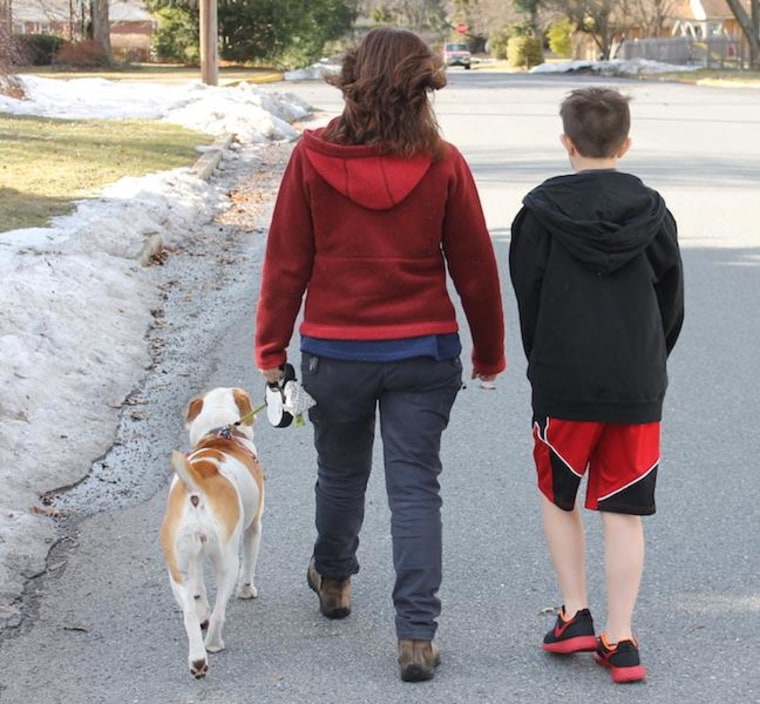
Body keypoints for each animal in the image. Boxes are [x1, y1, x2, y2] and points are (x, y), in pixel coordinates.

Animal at [157, 388, 264, 680]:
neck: (220, 433)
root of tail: (196, 488)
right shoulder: (254, 527)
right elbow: (250, 565)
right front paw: (247, 590)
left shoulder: (192, 561)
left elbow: (198, 591)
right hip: (227, 561)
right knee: (219, 613)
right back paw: (213, 644)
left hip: (177, 567)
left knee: (190, 614)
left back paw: (197, 659)